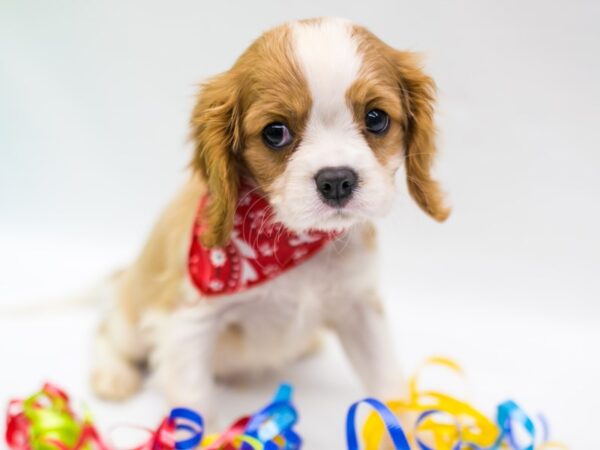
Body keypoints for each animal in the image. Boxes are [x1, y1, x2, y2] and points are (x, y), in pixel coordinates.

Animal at [90, 16, 450, 422]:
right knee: (107, 332)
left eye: (376, 119)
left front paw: (404, 428)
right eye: (275, 132)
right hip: (133, 316)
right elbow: (194, 404)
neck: (290, 241)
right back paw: (112, 374)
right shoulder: (189, 321)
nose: (336, 180)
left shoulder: (360, 307)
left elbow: (387, 380)